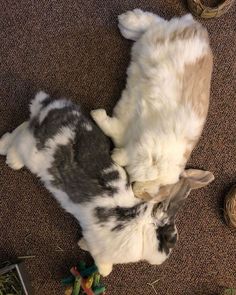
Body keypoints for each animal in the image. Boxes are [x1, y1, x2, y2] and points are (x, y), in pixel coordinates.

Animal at [91, 10, 213, 201]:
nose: (140, 193)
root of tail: (198, 30)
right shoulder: (148, 151)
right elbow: (130, 155)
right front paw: (116, 156)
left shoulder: (123, 131)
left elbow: (110, 127)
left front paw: (97, 115)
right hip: (166, 38)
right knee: (155, 22)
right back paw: (126, 20)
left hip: (154, 37)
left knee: (153, 24)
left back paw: (125, 25)